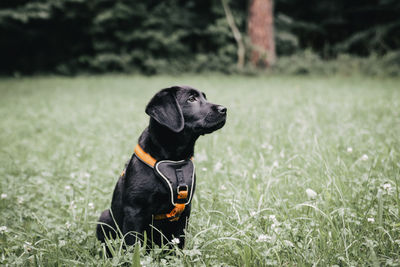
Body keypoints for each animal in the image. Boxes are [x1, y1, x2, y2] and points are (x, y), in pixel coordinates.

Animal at [97, 86, 227, 251]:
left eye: (204, 97)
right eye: (191, 99)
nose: (224, 109)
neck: (173, 160)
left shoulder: (185, 211)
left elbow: (178, 242)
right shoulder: (134, 211)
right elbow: (133, 244)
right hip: (105, 218)